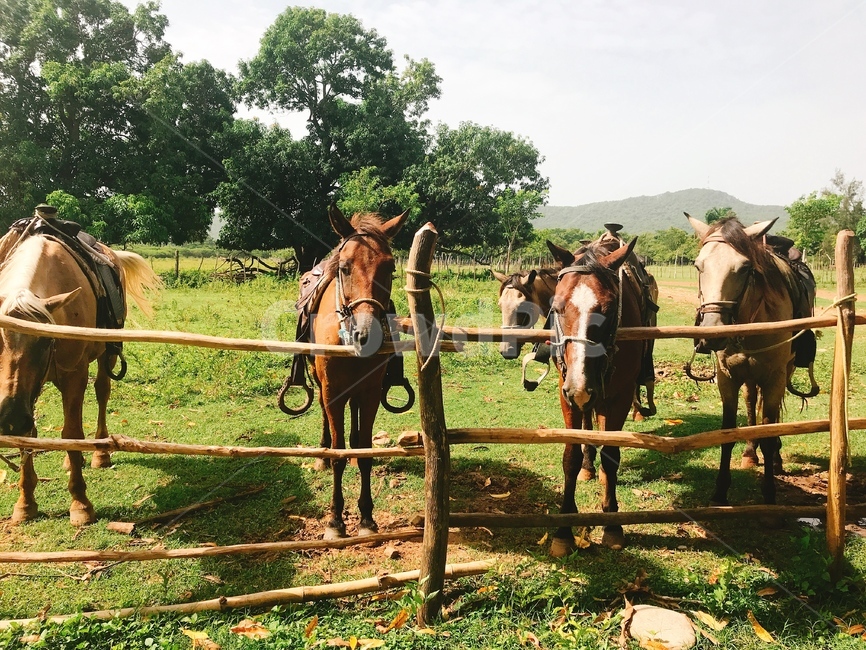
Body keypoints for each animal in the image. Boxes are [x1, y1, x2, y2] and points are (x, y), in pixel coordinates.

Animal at [0, 226, 160, 526]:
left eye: (43, 341)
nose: (9, 419)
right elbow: (29, 436)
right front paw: (25, 503)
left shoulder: (74, 373)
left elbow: (71, 431)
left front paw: (80, 503)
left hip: (107, 354)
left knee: (101, 393)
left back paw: (99, 453)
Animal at [309, 205, 408, 540]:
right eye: (345, 267)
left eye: (390, 268)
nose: (367, 334)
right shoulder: (332, 392)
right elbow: (338, 452)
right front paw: (335, 521)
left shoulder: (370, 393)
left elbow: (365, 450)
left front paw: (366, 517)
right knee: (325, 421)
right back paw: (322, 454)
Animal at [546, 237, 643, 555]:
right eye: (556, 308)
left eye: (610, 309)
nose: (579, 384)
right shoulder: (566, 393)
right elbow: (571, 457)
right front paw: (564, 529)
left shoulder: (620, 396)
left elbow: (611, 456)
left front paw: (612, 524)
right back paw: (589, 468)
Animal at [686, 214, 805, 506]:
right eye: (698, 265)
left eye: (745, 268)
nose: (713, 333)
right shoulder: (728, 378)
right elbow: (728, 434)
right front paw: (719, 492)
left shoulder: (774, 377)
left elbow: (769, 433)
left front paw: (769, 494)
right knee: (752, 403)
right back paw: (750, 452)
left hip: (784, 372)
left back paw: (776, 459)